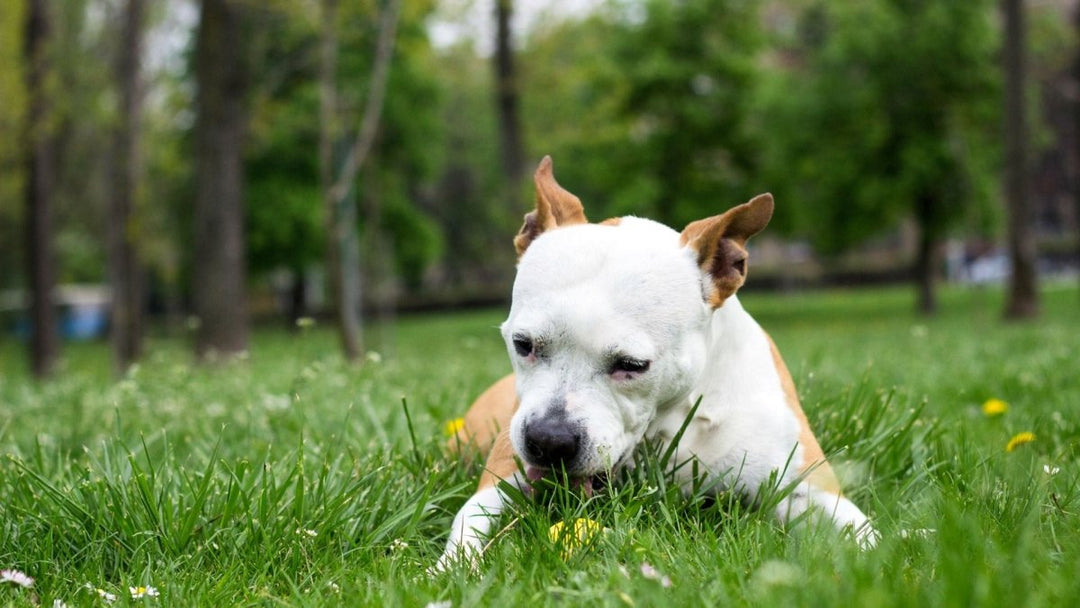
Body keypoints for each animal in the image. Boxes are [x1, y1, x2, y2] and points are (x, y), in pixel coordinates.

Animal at [434, 155, 872, 570]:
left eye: (632, 365)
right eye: (523, 344)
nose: (548, 440)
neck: (671, 418)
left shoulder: (809, 489)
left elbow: (867, 539)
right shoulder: (500, 482)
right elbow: (467, 527)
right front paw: (445, 574)